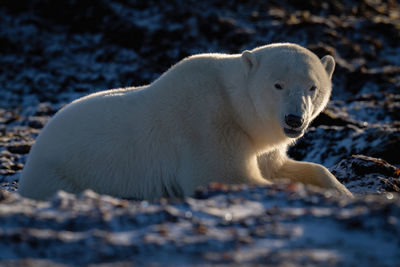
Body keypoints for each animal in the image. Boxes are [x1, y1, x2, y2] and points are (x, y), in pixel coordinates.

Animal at [18, 43, 354, 200]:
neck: (234, 104)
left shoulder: (258, 142)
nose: (294, 119)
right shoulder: (207, 124)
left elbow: (280, 166)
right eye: (278, 84)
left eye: (312, 87)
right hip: (62, 176)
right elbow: (224, 176)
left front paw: (342, 190)